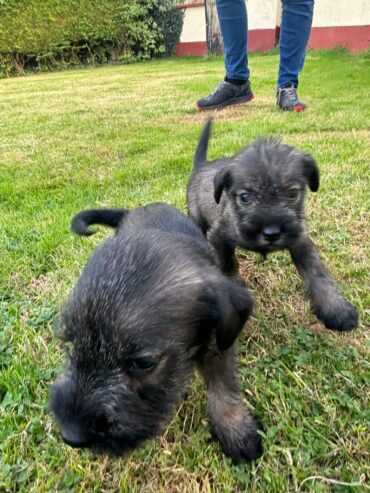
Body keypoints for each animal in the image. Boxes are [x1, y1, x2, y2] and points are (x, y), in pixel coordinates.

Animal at [49, 202, 264, 464]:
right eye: (71, 344)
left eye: (143, 363)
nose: (71, 436)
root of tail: (136, 209)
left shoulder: (218, 346)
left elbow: (224, 390)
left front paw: (236, 433)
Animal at [188, 119, 358, 330]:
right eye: (245, 197)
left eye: (292, 193)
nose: (271, 233)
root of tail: (200, 166)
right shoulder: (219, 238)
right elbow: (228, 265)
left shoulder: (300, 240)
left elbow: (317, 274)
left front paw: (336, 309)